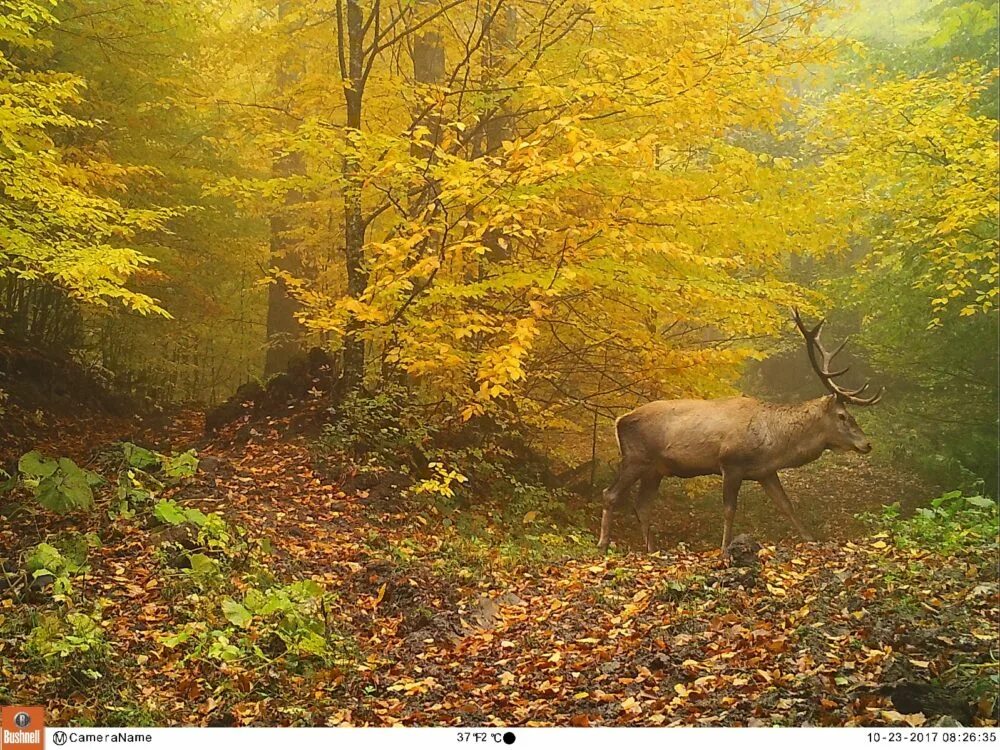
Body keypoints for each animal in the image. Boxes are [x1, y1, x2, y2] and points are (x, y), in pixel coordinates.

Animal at [592, 312, 884, 560]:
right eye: (843, 416)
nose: (867, 443)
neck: (773, 442)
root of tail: (619, 420)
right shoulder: (730, 464)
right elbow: (729, 510)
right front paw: (725, 548)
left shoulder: (765, 471)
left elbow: (786, 505)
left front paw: (811, 539)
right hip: (636, 457)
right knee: (610, 493)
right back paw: (603, 544)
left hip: (656, 469)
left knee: (642, 504)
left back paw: (652, 550)